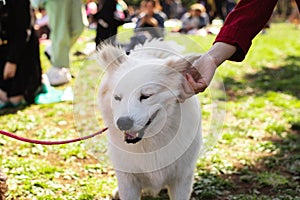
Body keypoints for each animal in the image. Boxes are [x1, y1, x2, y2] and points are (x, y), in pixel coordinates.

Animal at [97, 39, 203, 200]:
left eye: (146, 96)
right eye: (117, 98)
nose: (122, 123)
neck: (150, 144)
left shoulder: (182, 178)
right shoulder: (128, 180)